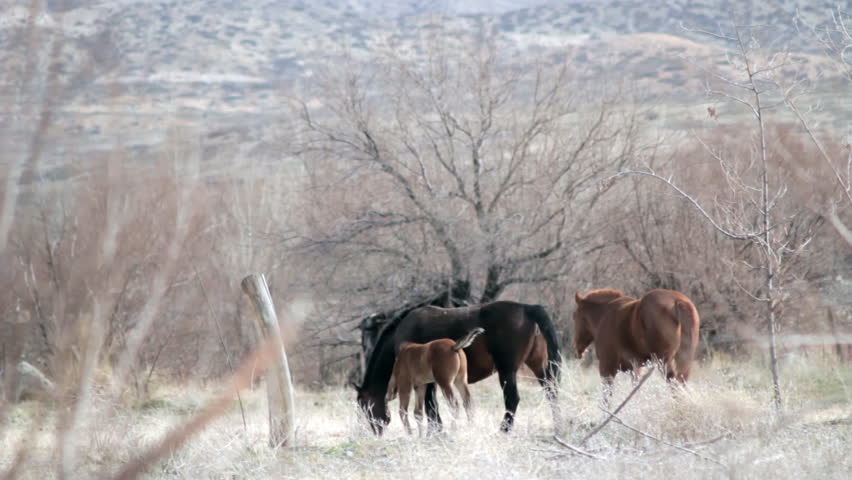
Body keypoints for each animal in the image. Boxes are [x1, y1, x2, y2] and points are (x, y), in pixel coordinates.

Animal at [355, 301, 562, 435]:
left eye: (365, 407)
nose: (376, 431)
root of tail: (528, 309)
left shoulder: (426, 382)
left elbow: (431, 407)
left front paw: (436, 432)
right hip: (539, 366)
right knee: (552, 392)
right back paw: (557, 425)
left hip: (507, 370)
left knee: (512, 399)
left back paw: (504, 430)